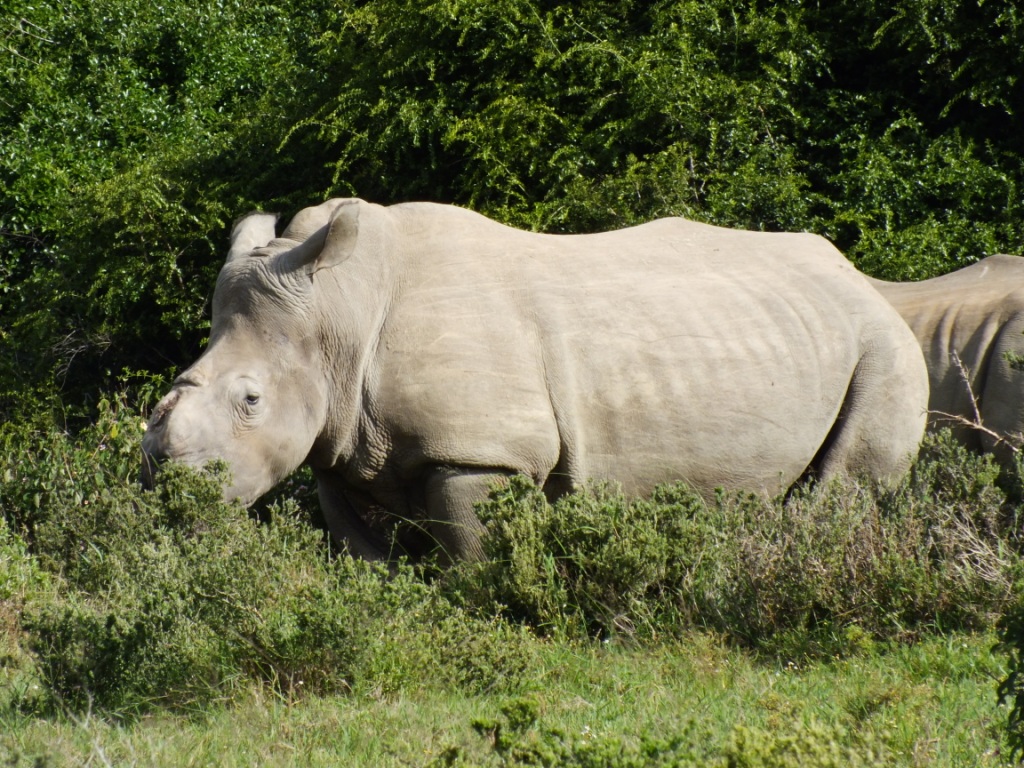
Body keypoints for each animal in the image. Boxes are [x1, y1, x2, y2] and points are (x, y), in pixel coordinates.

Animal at [142, 198, 928, 561]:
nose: (162, 484)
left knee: (845, 488)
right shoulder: (339, 441)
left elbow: (472, 553)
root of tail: (860, 278)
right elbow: (360, 545)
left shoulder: (481, 453)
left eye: (250, 400)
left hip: (885, 346)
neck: (340, 316)